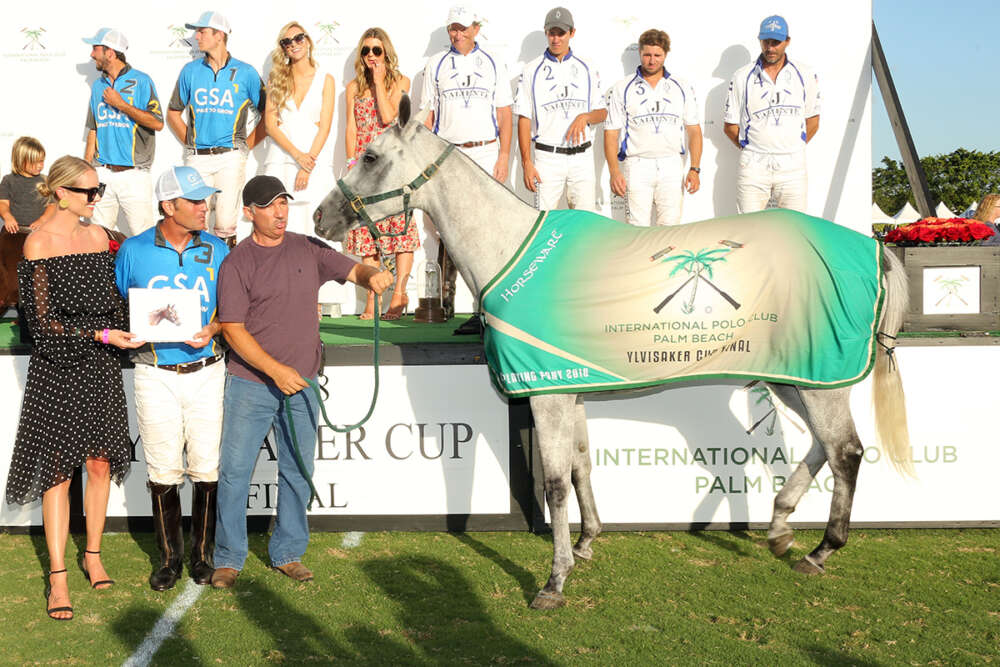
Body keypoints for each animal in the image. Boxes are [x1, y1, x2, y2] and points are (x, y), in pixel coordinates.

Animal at [314, 99, 916, 612]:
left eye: (370, 156)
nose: (320, 218)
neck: (511, 248)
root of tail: (871, 246)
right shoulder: (568, 388)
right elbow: (582, 465)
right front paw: (586, 542)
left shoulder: (546, 396)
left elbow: (556, 484)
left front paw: (554, 581)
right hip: (795, 377)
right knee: (822, 446)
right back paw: (780, 526)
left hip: (819, 379)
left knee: (845, 451)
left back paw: (821, 549)